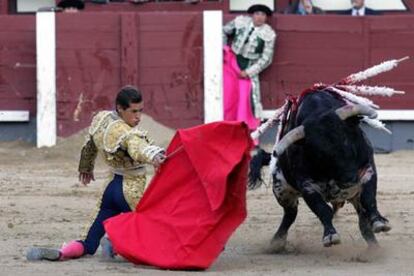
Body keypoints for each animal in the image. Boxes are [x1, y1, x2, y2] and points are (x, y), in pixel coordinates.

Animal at [249, 89, 392, 251]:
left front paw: (380, 222)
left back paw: (374, 248)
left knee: (363, 220)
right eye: (320, 154)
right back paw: (277, 242)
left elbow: (369, 199)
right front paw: (330, 236)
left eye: (346, 141)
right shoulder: (307, 186)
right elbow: (323, 210)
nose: (350, 180)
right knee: (290, 213)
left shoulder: (367, 170)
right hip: (281, 190)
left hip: (353, 195)